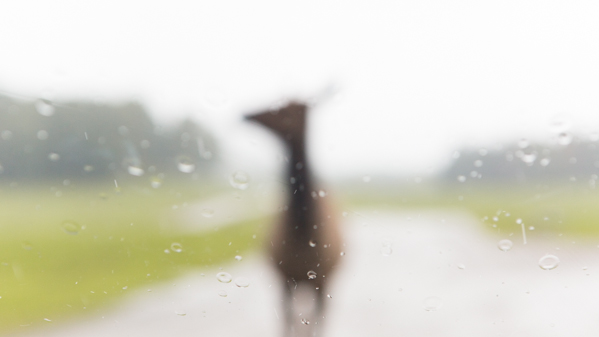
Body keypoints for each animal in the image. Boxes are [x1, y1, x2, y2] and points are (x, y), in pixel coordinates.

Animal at [246, 100, 344, 336]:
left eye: (282, 111)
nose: (246, 115)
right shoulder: (286, 277)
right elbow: (287, 318)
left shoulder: (322, 279)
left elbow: (317, 319)